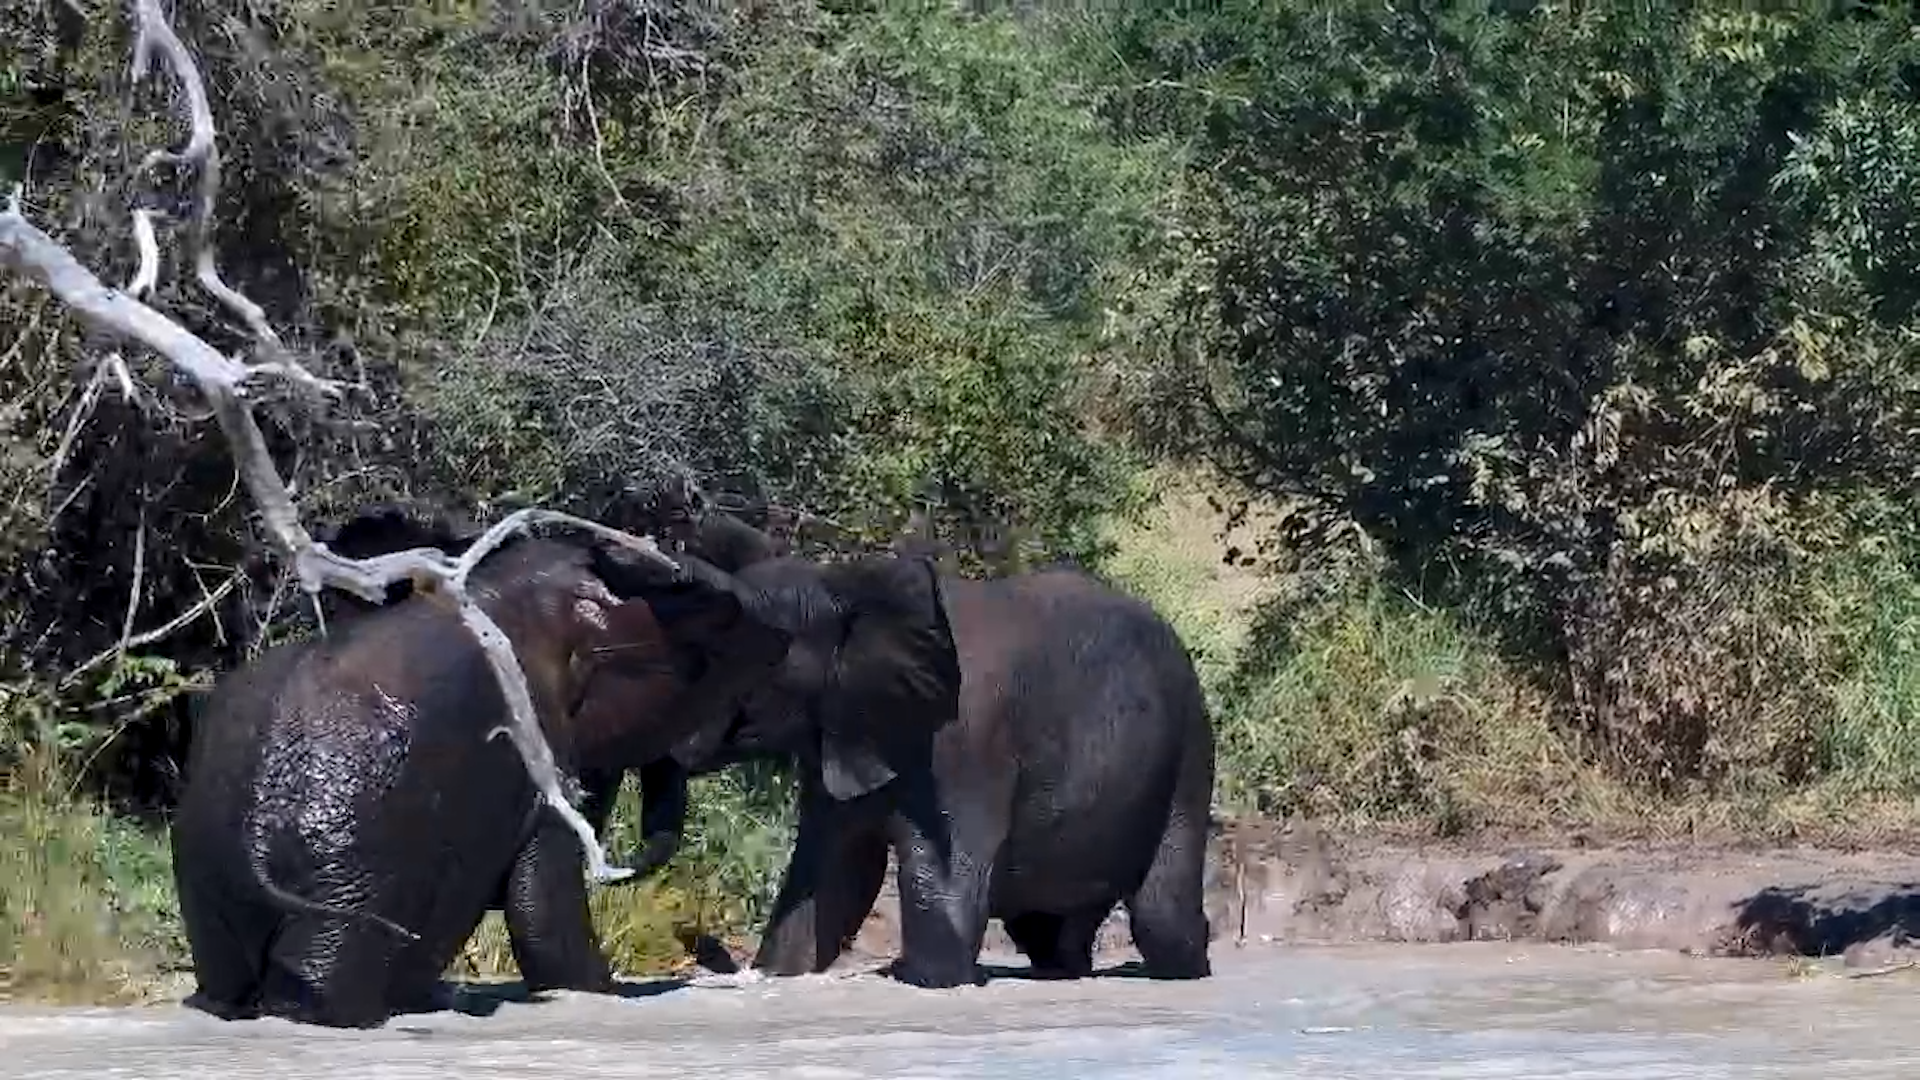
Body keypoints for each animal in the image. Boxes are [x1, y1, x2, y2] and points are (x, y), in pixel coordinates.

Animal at [169, 507, 791, 1028]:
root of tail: (254, 840)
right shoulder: (536, 746)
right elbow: (542, 904)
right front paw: (602, 990)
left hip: (209, 867)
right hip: (353, 869)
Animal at [667, 549, 1217, 990]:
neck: (842, 589)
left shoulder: (964, 740)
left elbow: (942, 872)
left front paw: (927, 978)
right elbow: (833, 868)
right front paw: (780, 972)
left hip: (1190, 743)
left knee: (1160, 908)